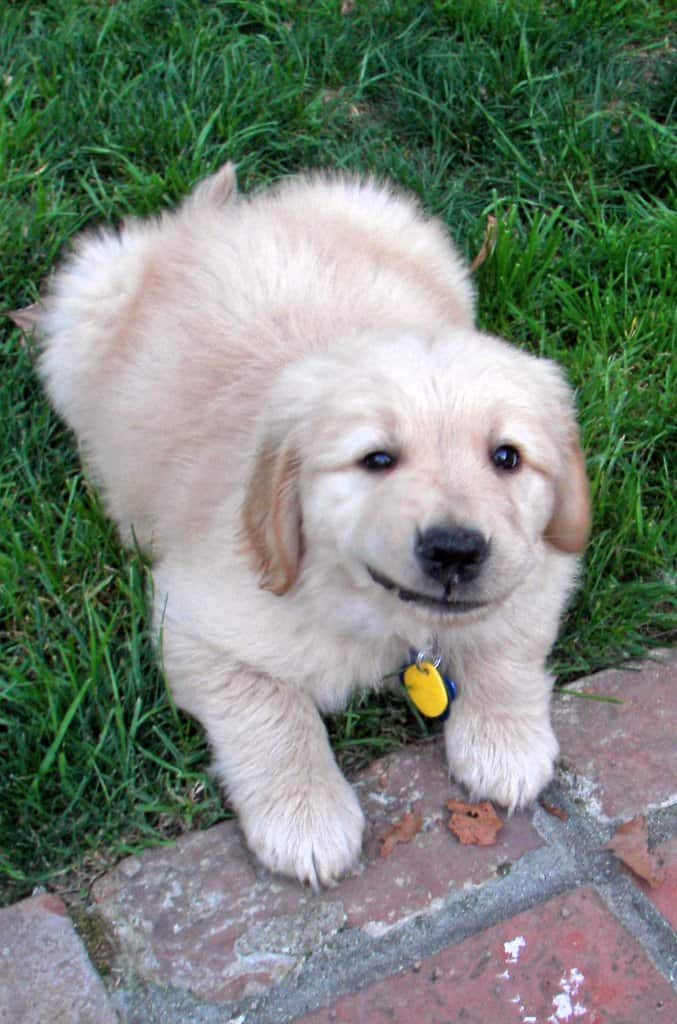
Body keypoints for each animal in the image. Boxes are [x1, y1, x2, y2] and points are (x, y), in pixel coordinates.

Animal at [34, 161, 589, 888]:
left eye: (507, 457)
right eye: (376, 459)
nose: (455, 551)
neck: (385, 617)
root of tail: (212, 219)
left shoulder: (539, 563)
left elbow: (509, 639)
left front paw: (504, 740)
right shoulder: (194, 622)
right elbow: (271, 711)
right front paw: (306, 814)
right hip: (86, 303)